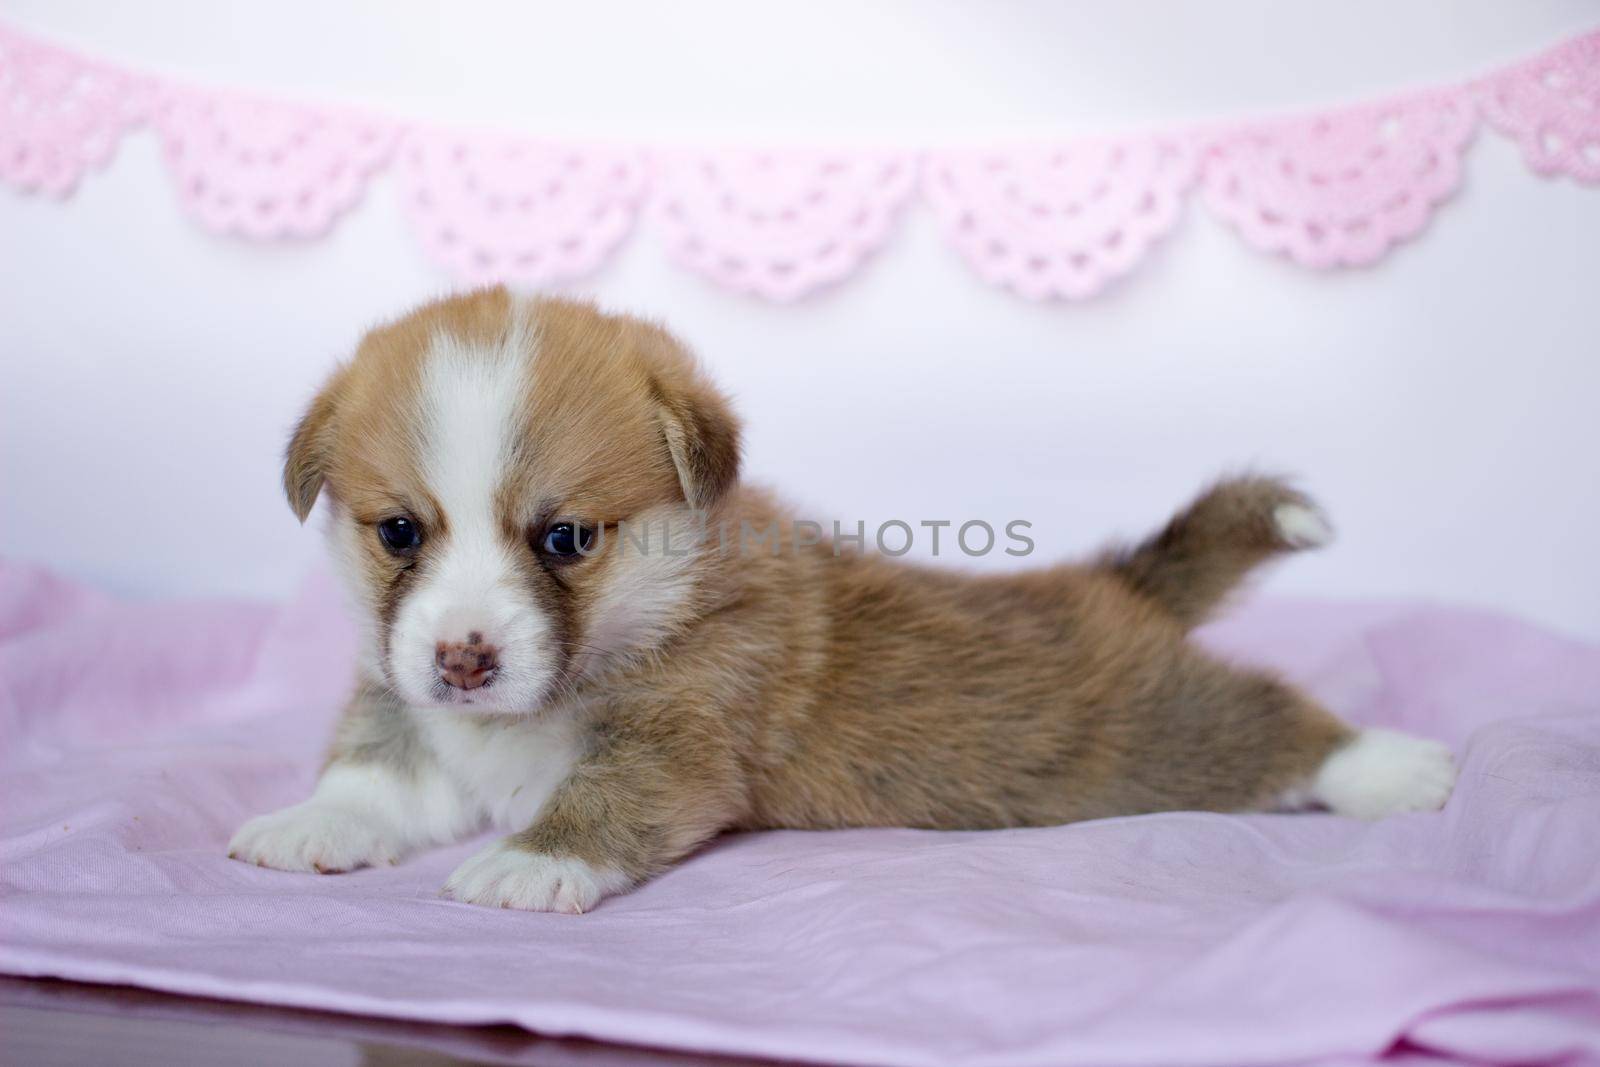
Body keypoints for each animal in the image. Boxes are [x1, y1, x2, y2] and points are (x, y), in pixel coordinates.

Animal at [228, 287, 1465, 915]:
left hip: (1159, 734)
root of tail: (1113, 582)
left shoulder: (683, 739)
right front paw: (311, 821)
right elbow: (377, 768)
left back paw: (1395, 765)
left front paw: (534, 860)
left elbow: (610, 794)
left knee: (1273, 725)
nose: (466, 660)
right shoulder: (409, 704)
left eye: (567, 537)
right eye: (398, 531)